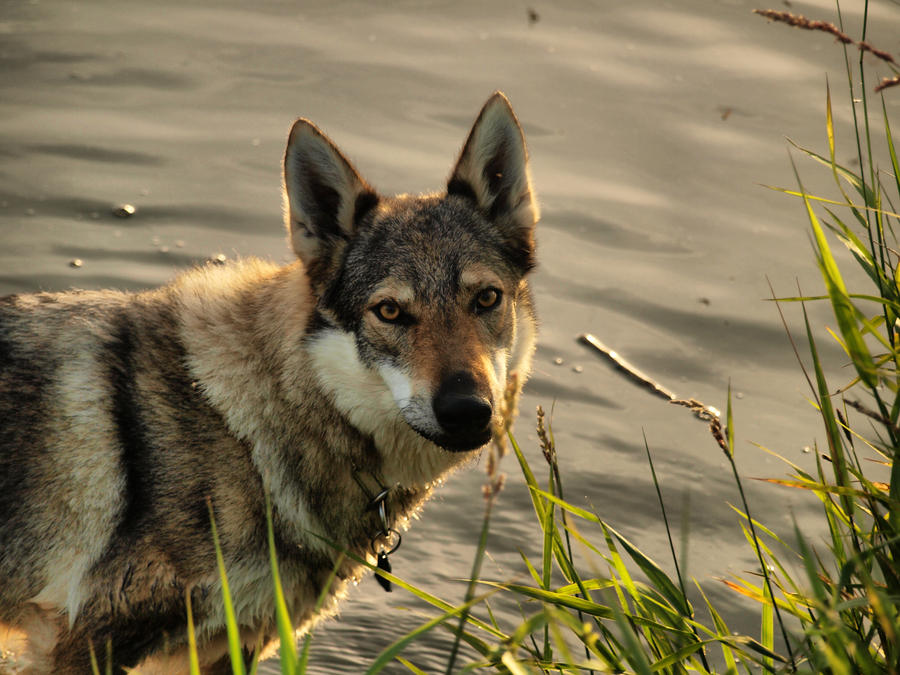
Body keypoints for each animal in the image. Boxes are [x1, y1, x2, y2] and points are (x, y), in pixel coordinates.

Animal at [0, 92, 536, 672]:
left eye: (486, 298)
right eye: (390, 311)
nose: (468, 409)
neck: (246, 433)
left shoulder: (227, 646)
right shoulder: (80, 642)